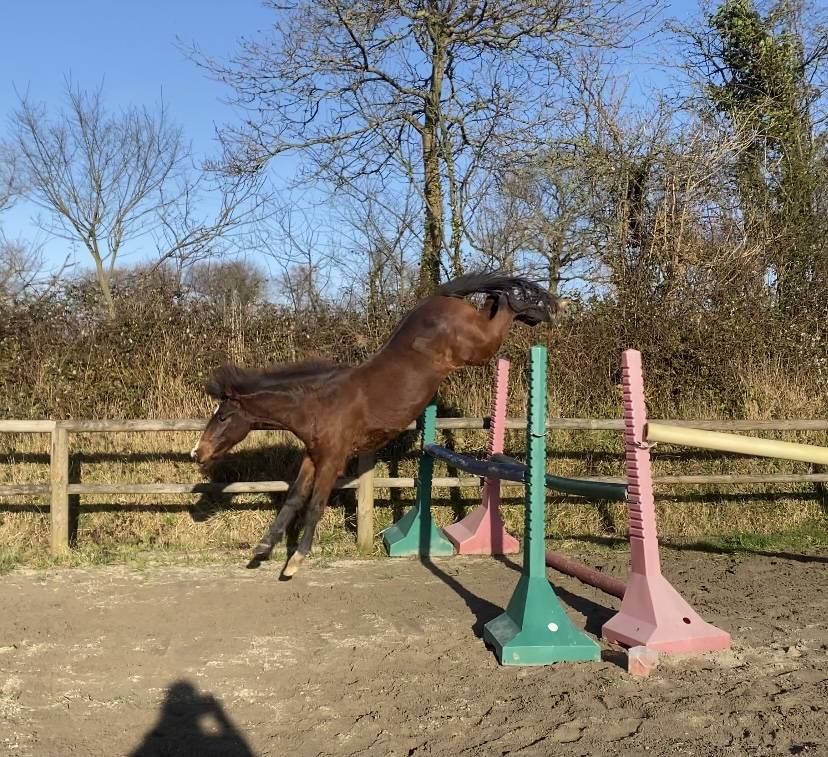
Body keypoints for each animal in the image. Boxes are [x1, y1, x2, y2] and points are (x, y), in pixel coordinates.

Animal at [191, 272, 559, 577]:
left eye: (222, 416)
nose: (198, 453)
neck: (319, 404)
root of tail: (440, 298)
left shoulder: (333, 461)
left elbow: (314, 506)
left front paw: (295, 561)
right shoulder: (314, 457)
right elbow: (293, 500)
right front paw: (262, 548)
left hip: (481, 349)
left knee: (504, 308)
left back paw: (539, 307)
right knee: (494, 302)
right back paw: (534, 309)